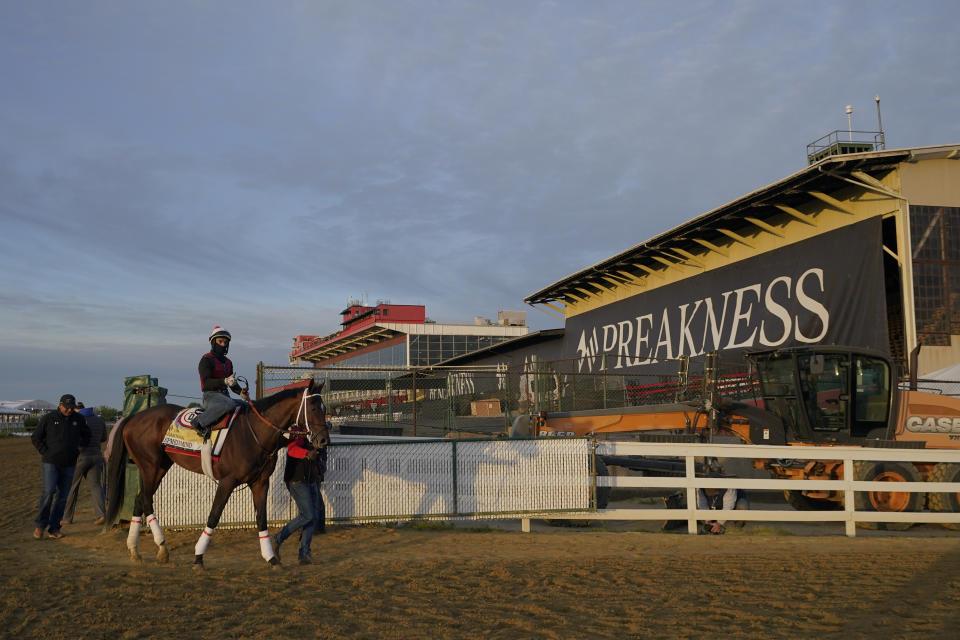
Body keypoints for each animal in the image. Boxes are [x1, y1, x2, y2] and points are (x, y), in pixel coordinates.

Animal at [105, 378, 330, 568]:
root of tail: (133, 417)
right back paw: (161, 546)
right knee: (146, 500)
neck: (254, 432)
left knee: (140, 499)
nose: (323, 440)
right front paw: (198, 556)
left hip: (159, 466)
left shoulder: (260, 482)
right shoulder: (227, 481)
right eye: (313, 408)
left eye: (324, 408)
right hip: (150, 466)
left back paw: (134, 549)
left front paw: (271, 557)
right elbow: (214, 515)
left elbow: (261, 518)